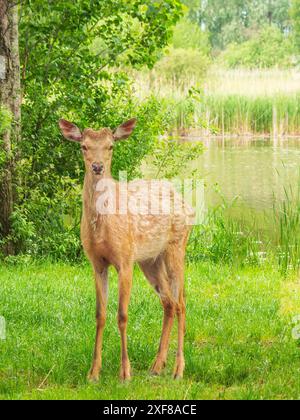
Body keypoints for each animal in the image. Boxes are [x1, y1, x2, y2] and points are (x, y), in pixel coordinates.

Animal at [59, 117, 195, 380]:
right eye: (84, 146)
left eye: (111, 146)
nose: (97, 167)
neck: (102, 226)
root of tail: (186, 202)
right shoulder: (97, 263)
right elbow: (100, 315)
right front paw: (94, 372)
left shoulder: (125, 259)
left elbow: (122, 315)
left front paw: (125, 372)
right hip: (150, 260)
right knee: (168, 303)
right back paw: (156, 365)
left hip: (177, 246)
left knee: (181, 304)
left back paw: (178, 370)